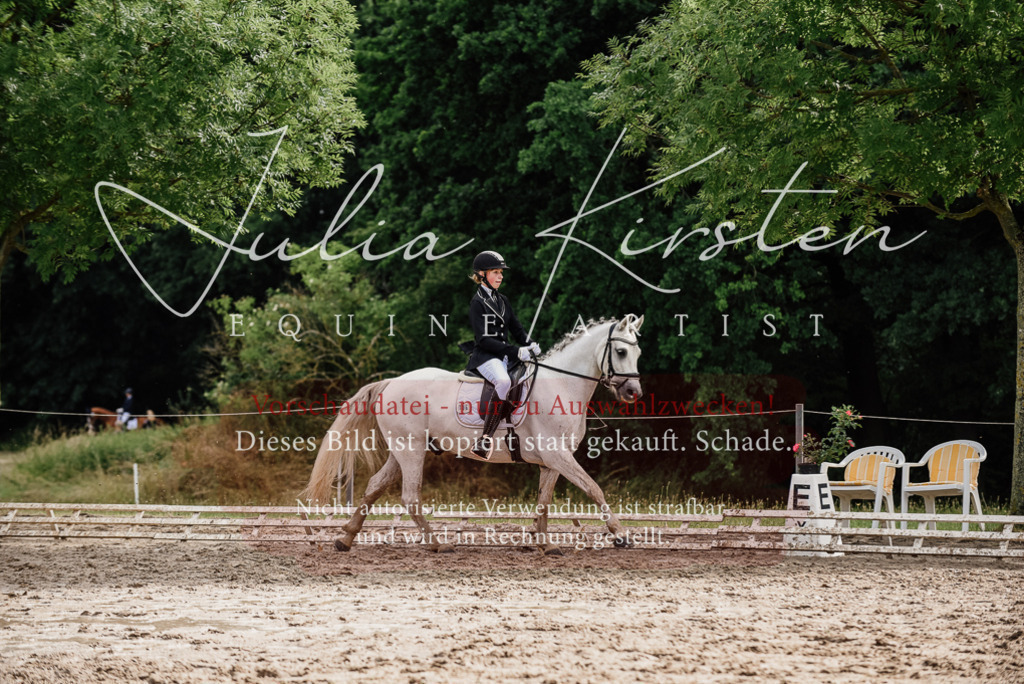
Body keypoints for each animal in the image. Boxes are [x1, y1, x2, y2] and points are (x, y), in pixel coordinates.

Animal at [301, 314, 645, 554]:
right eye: (620, 351)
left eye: (637, 352)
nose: (634, 392)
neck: (561, 384)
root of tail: (390, 383)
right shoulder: (556, 455)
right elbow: (594, 488)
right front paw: (621, 535)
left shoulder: (551, 462)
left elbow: (544, 502)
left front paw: (544, 544)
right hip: (410, 449)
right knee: (410, 496)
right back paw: (438, 544)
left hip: (403, 450)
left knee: (374, 487)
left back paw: (346, 538)